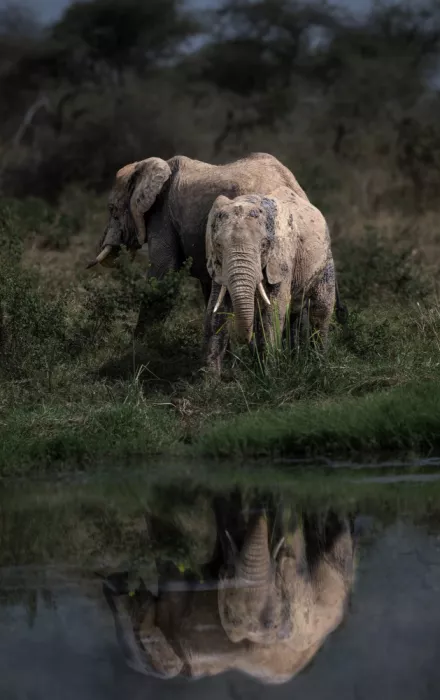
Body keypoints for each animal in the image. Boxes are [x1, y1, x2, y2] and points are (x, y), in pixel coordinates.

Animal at [205, 186, 344, 373]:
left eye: (264, 245)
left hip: (325, 259)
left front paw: (268, 373)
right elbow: (216, 312)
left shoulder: (282, 259)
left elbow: (274, 310)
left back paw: (319, 363)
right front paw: (209, 378)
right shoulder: (218, 267)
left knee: (320, 310)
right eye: (219, 245)